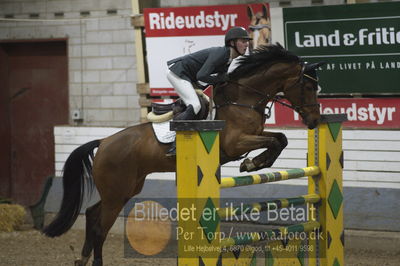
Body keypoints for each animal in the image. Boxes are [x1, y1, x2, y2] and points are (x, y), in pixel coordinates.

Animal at [43, 44, 324, 264]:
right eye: (308, 87)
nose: (314, 120)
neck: (243, 98)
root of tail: (104, 142)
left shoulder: (254, 134)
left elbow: (280, 139)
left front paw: (256, 162)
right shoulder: (235, 143)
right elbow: (273, 142)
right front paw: (253, 163)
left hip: (125, 189)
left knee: (92, 214)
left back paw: (82, 259)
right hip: (116, 191)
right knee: (101, 227)